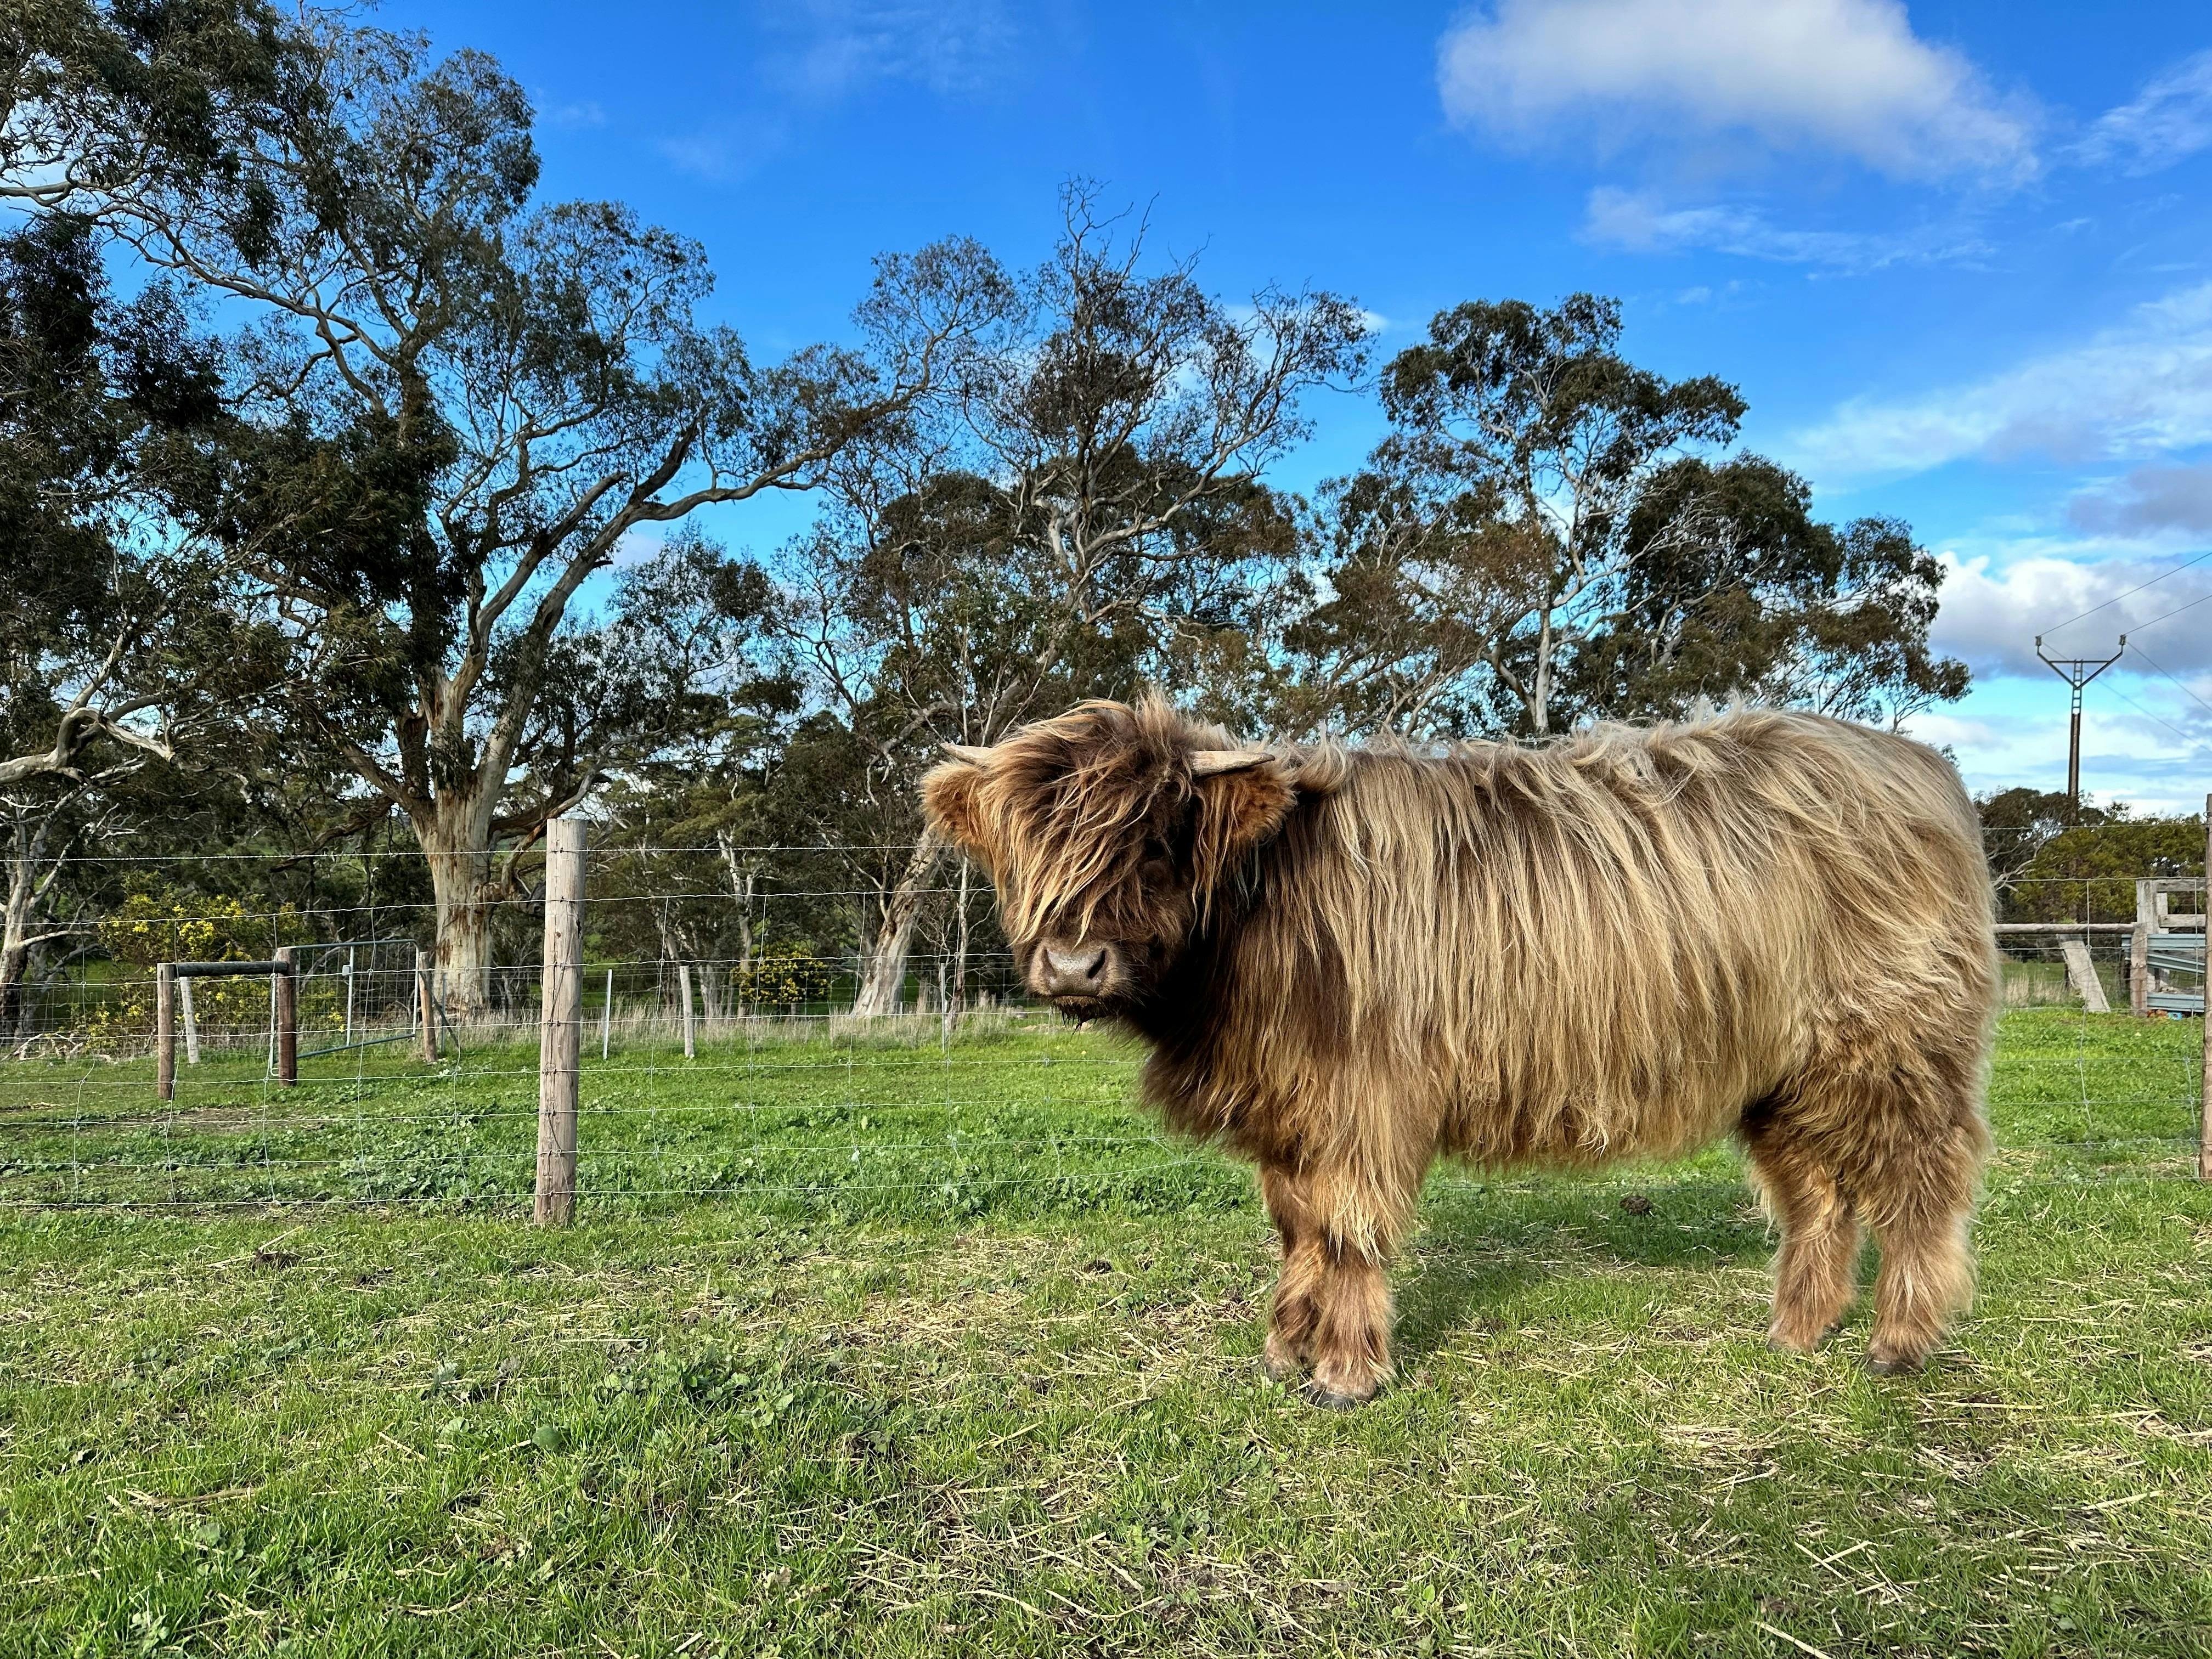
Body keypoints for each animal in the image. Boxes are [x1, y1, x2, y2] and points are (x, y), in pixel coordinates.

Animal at [921, 697, 1997, 1408]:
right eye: (1024, 846)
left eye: (1158, 839)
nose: (1073, 962)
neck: (1256, 921)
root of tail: (1909, 764)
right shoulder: (1287, 1108)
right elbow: (1296, 1228)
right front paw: (1283, 1347)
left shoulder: (1362, 1099)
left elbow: (1347, 1230)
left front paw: (1346, 1373)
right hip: (1781, 1074)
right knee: (1817, 1194)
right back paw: (1795, 1334)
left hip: (1896, 1046)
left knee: (1921, 1181)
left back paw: (1900, 1341)